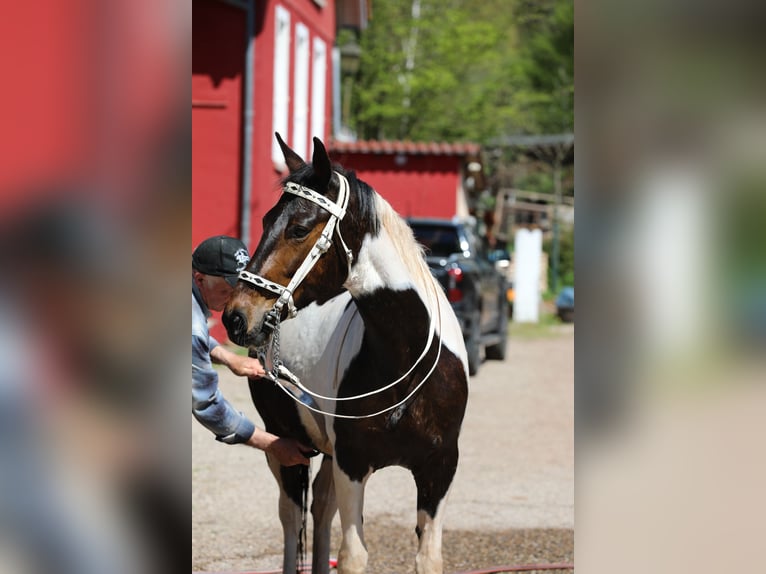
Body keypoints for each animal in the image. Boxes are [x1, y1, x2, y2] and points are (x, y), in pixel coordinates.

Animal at [222, 133, 469, 574]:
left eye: (299, 229)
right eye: (266, 220)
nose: (236, 316)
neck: (404, 362)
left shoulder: (439, 469)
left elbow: (428, 556)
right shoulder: (352, 464)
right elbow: (353, 554)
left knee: (320, 507)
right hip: (288, 443)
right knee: (292, 516)